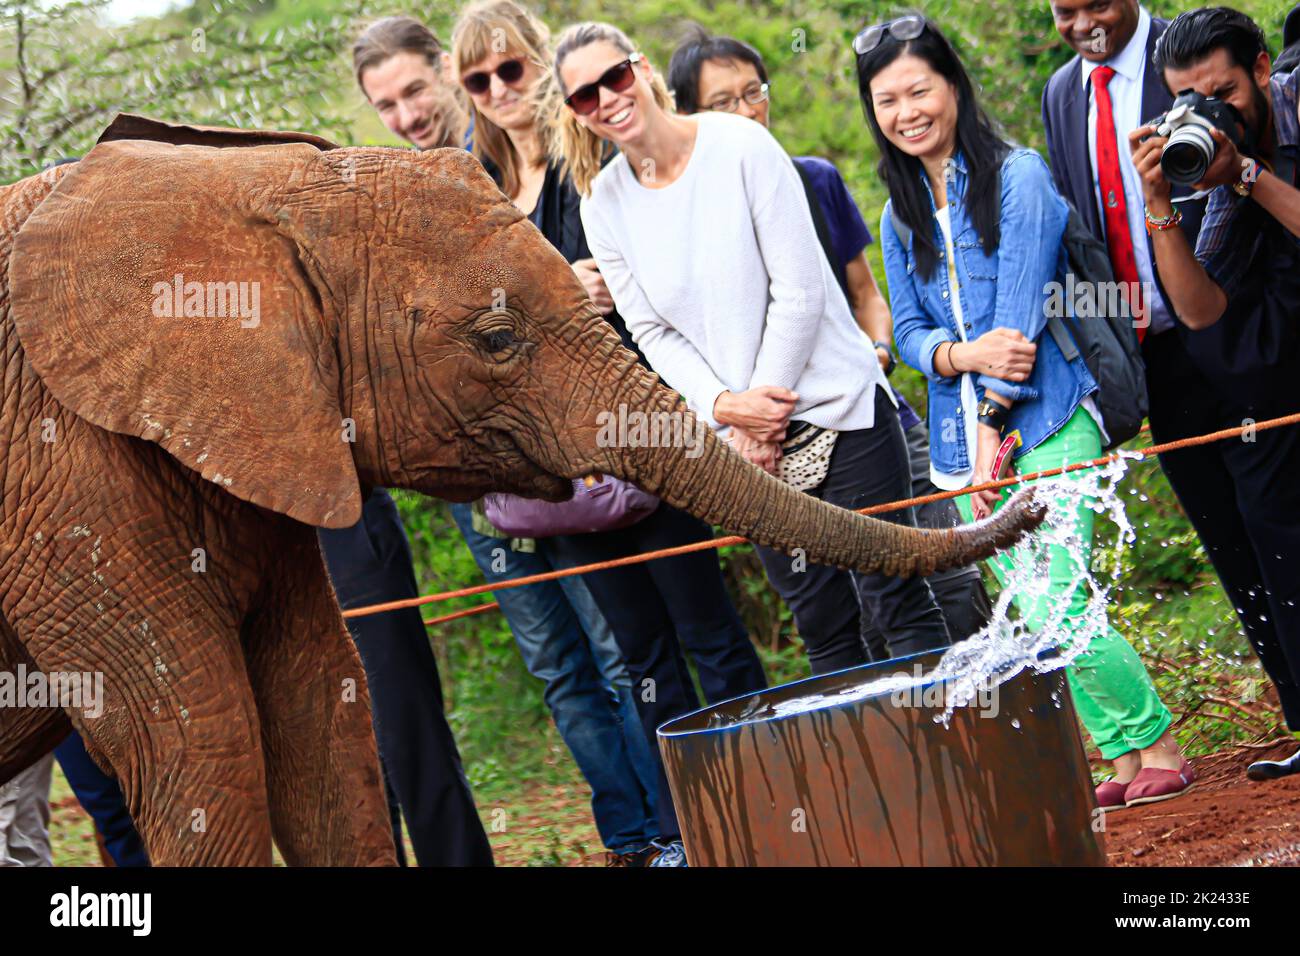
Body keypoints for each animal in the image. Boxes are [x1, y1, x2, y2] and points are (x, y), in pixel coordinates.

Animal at [0, 113, 1045, 868]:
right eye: (496, 341)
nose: (1023, 497)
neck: (230, 195)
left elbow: (320, 710)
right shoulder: (63, 479)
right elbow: (200, 741)